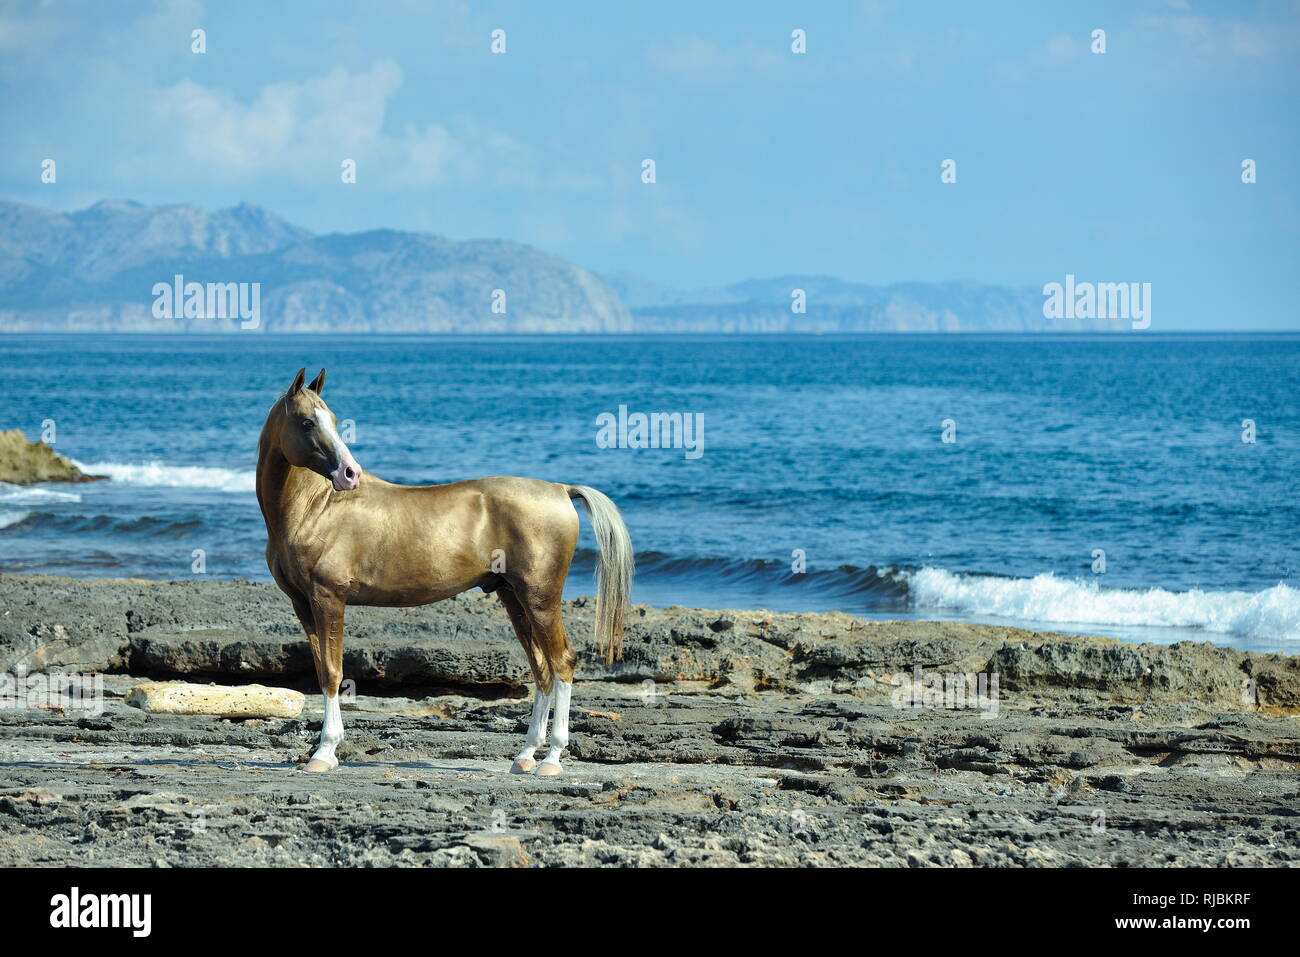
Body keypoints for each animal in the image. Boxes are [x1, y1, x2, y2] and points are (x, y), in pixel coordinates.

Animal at [254, 369, 634, 780]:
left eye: (336, 421)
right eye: (308, 422)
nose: (350, 474)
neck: (316, 508)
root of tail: (561, 490)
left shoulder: (329, 598)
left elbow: (332, 674)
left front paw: (324, 752)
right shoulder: (303, 604)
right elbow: (323, 670)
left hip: (540, 597)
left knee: (562, 662)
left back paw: (552, 758)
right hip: (514, 597)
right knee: (542, 669)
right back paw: (526, 755)